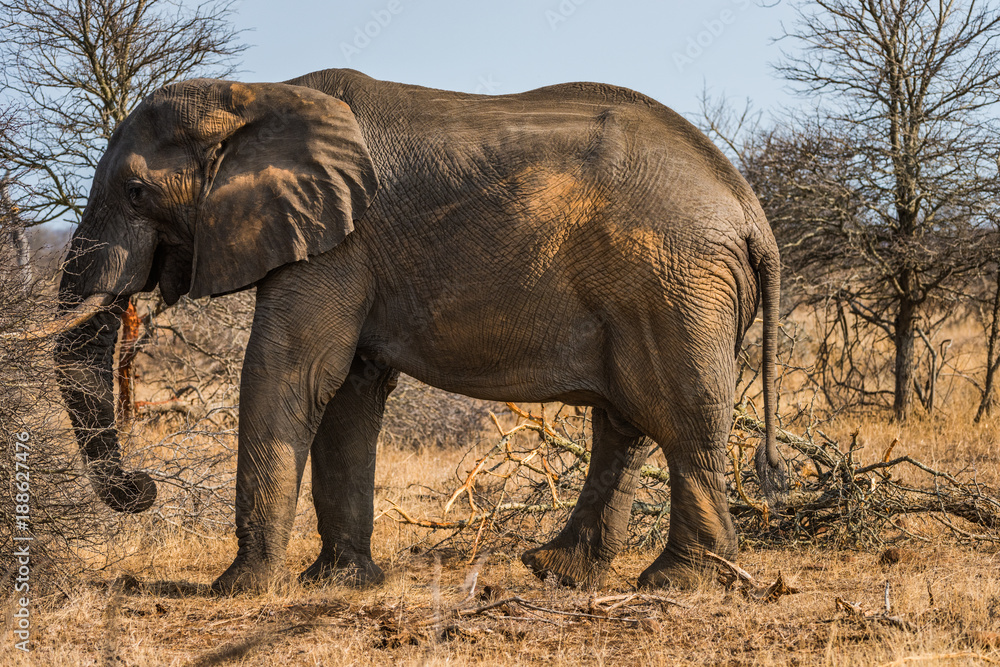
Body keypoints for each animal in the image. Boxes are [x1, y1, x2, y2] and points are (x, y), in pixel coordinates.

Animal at [54, 68, 783, 593]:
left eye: (137, 193)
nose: (142, 486)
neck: (254, 95)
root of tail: (752, 212)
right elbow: (348, 388)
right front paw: (339, 584)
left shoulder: (338, 244)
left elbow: (290, 369)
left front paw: (238, 590)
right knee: (626, 423)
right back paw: (558, 572)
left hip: (675, 282)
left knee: (681, 419)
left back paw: (679, 583)